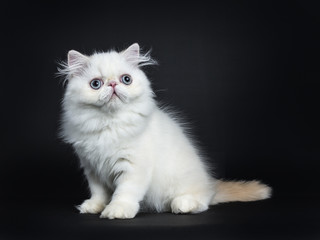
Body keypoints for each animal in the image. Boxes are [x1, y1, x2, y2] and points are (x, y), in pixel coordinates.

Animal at [58, 43, 272, 219]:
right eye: (96, 84)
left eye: (126, 79)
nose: (112, 84)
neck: (109, 124)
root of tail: (211, 186)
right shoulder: (92, 167)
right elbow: (98, 192)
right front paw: (94, 207)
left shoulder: (134, 166)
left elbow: (125, 192)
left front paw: (117, 210)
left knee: (202, 203)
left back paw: (183, 204)